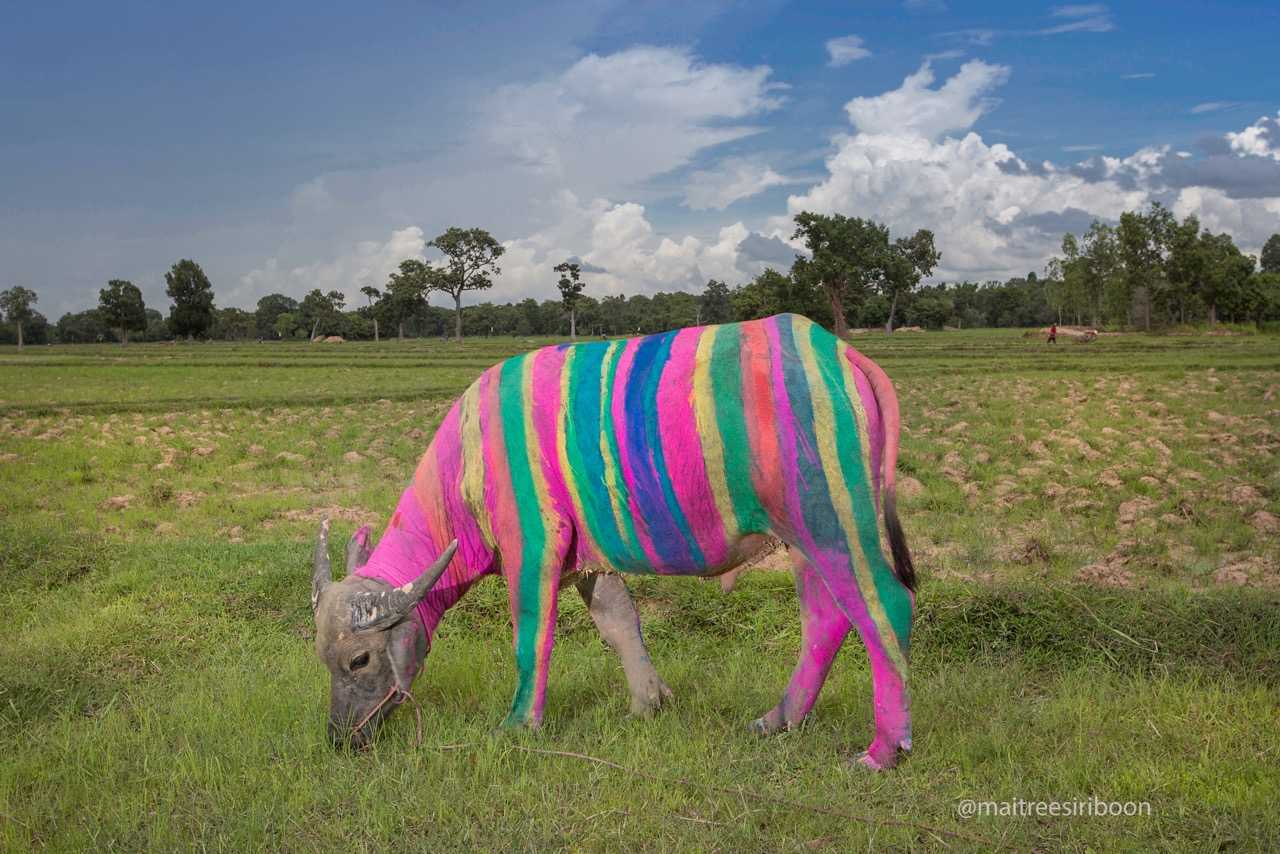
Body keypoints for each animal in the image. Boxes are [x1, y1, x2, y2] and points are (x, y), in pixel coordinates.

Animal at [313, 313, 916, 768]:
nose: (342, 738)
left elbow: (532, 636)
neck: (469, 459)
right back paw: (778, 720)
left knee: (885, 605)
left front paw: (519, 723)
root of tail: (836, 351)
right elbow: (620, 624)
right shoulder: (589, 563)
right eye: (322, 659)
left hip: (833, 521)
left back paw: (883, 750)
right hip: (803, 538)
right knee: (826, 618)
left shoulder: (533, 549)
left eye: (359, 660)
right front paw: (648, 703)